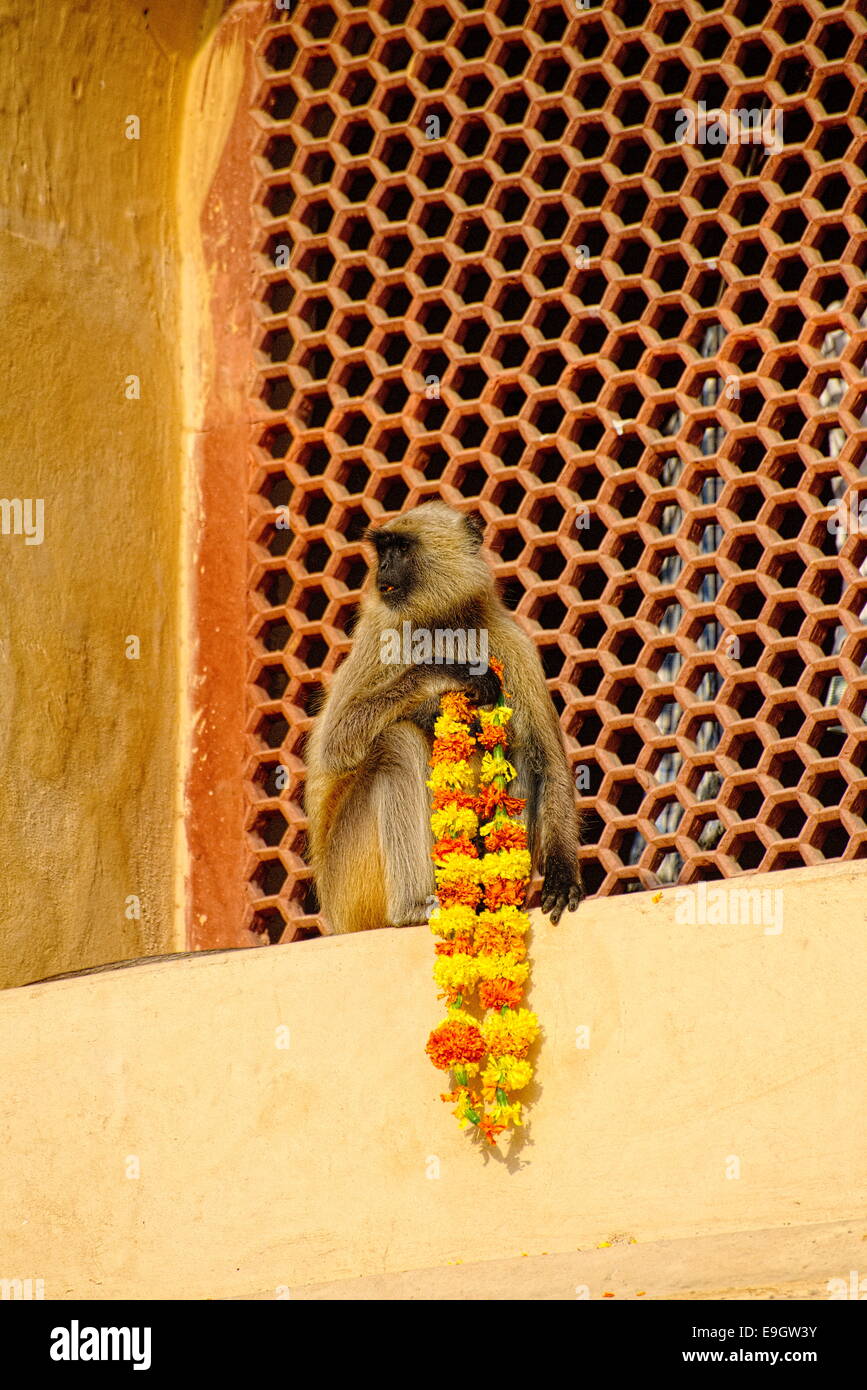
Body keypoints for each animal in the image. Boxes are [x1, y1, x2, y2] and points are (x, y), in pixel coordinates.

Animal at [304, 501, 584, 935]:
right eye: (383, 549)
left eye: (401, 549)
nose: (383, 569)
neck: (444, 625)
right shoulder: (380, 632)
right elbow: (334, 746)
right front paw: (446, 670)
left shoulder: (513, 645)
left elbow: (549, 764)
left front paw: (562, 878)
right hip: (347, 887)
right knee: (396, 743)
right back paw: (415, 908)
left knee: (519, 751)